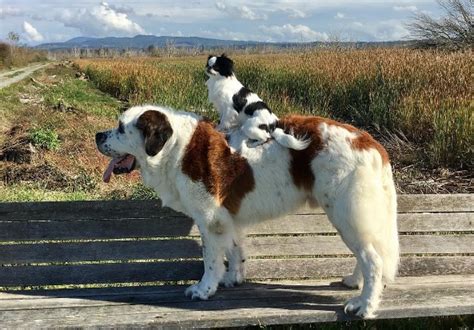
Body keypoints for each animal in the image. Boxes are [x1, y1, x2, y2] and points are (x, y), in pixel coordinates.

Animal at [96, 104, 400, 318]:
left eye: (121, 128)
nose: (98, 136)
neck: (175, 149)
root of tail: (369, 141)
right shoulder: (225, 217)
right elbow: (233, 249)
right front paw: (234, 277)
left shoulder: (209, 218)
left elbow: (210, 259)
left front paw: (204, 289)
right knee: (368, 253)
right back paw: (355, 282)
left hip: (345, 213)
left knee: (372, 259)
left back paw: (364, 305)